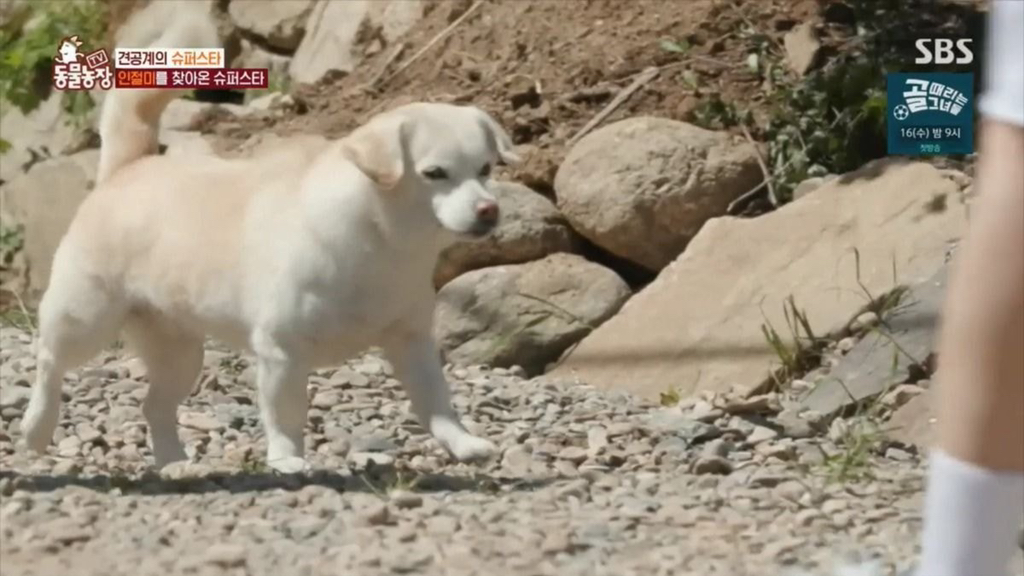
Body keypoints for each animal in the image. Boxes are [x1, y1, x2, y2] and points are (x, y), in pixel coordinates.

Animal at [22, 3, 520, 471]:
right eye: (434, 174)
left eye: (485, 170)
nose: (489, 210)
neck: (385, 245)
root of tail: (130, 167)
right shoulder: (283, 353)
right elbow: (286, 415)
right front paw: (286, 460)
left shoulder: (412, 342)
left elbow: (437, 402)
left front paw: (462, 443)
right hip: (86, 318)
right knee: (49, 361)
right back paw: (37, 428)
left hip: (180, 352)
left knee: (154, 406)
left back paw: (173, 462)